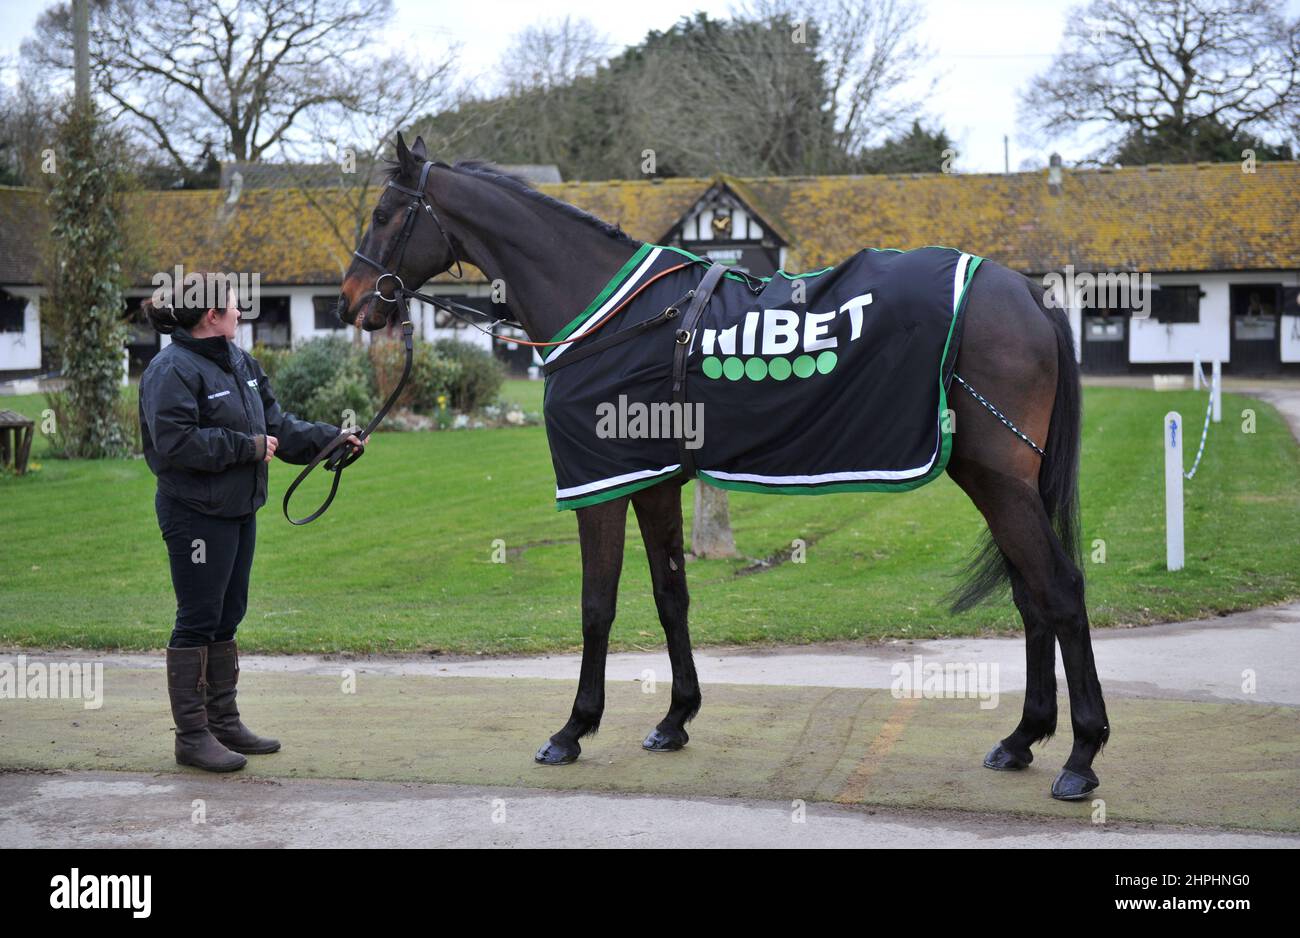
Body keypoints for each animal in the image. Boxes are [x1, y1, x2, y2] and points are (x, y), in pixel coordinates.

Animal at [332, 135, 1107, 800]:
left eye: (383, 212)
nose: (351, 300)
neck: (611, 315)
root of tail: (1023, 293)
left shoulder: (598, 484)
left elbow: (596, 605)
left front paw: (573, 728)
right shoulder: (649, 482)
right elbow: (670, 595)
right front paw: (676, 718)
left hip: (1000, 479)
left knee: (1060, 589)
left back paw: (1081, 754)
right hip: (995, 480)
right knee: (1030, 595)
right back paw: (1023, 738)